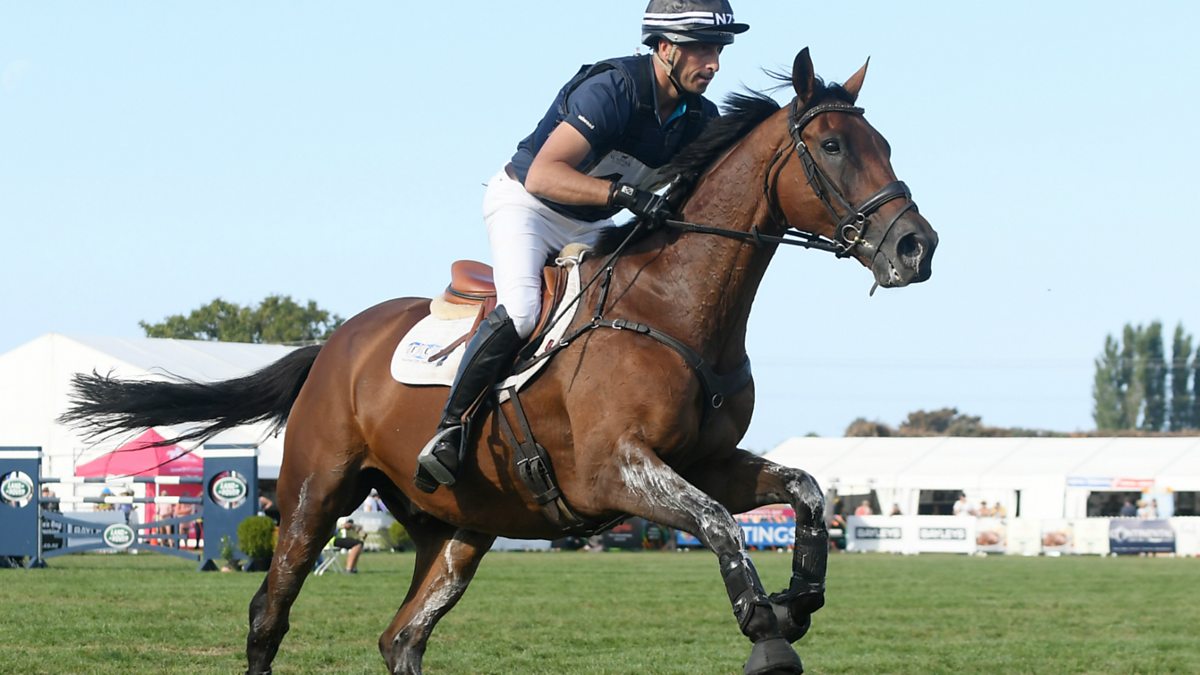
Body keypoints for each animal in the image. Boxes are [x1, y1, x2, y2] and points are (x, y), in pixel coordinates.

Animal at [60, 48, 936, 672]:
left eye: (888, 144)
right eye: (832, 144)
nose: (915, 247)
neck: (675, 307)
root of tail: (334, 343)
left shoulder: (705, 460)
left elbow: (808, 490)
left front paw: (801, 594)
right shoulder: (619, 471)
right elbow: (721, 522)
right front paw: (766, 621)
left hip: (457, 528)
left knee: (402, 637)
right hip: (314, 494)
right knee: (269, 615)